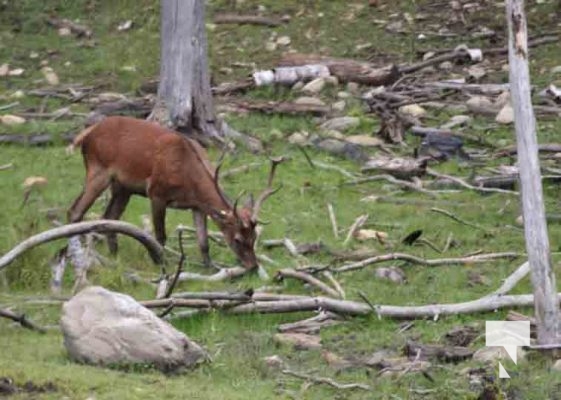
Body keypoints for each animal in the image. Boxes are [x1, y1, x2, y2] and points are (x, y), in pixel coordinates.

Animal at [68, 117, 282, 270]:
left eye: (254, 237)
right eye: (237, 239)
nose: (253, 266)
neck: (188, 179)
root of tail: (86, 135)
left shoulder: (198, 206)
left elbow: (203, 241)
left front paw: (210, 266)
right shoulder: (156, 193)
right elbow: (160, 236)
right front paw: (161, 264)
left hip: (122, 187)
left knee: (109, 217)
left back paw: (114, 256)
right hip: (98, 170)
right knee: (75, 211)